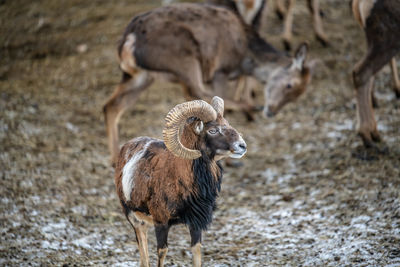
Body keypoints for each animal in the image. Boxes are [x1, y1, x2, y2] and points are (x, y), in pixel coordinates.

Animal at [104, 3, 312, 164]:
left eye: (298, 94)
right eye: (290, 85)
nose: (271, 112)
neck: (244, 54)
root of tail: (128, 39)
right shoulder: (219, 72)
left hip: (140, 76)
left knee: (112, 105)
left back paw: (115, 159)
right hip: (185, 59)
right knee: (198, 92)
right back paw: (251, 109)